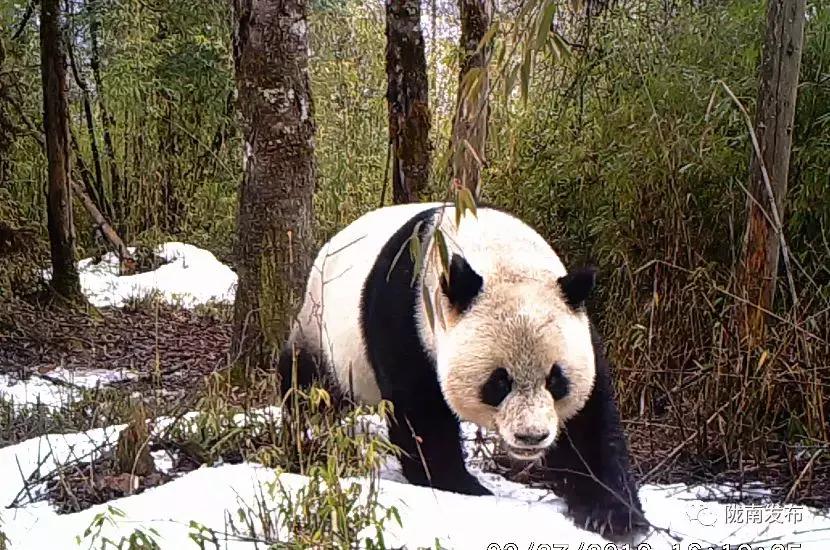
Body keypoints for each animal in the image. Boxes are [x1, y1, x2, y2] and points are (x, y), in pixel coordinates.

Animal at [276, 203, 648, 544]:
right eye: (499, 381)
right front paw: (466, 488)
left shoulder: (582, 335)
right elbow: (422, 416)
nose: (531, 437)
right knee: (306, 382)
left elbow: (590, 425)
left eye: (555, 380)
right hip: (321, 329)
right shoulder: (407, 320)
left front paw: (613, 516)